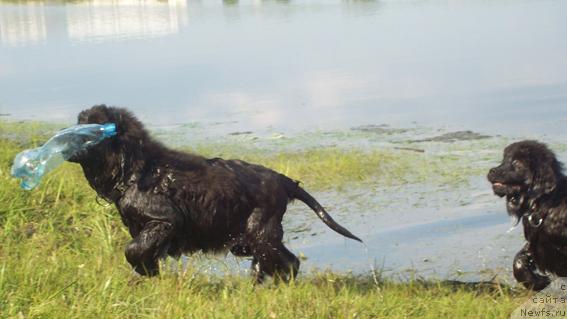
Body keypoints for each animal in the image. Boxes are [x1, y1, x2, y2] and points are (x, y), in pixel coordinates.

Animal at [486, 141, 567, 292]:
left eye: (517, 162)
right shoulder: (537, 241)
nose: (491, 171)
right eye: (504, 160)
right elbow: (518, 259)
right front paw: (537, 281)